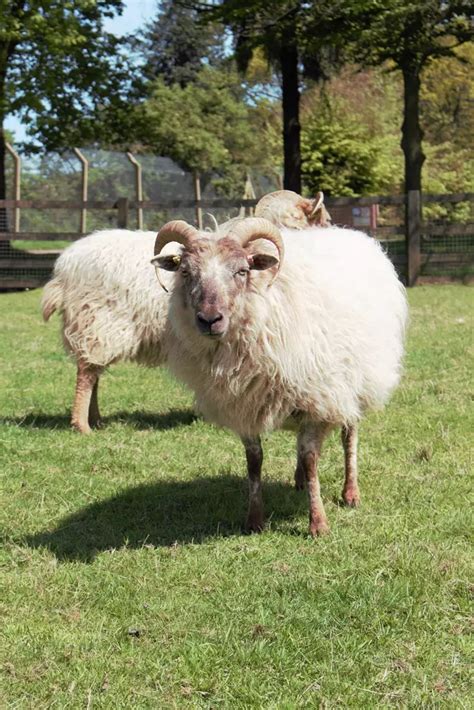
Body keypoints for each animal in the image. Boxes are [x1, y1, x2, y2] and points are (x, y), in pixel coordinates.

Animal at [153, 220, 408, 536]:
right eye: (186, 272)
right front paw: (254, 519)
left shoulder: (316, 399)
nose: (210, 320)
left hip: (353, 385)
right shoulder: (244, 405)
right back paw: (299, 481)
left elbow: (311, 460)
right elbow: (254, 461)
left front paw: (318, 523)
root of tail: (353, 233)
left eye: (242, 271)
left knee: (348, 437)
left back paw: (350, 492)